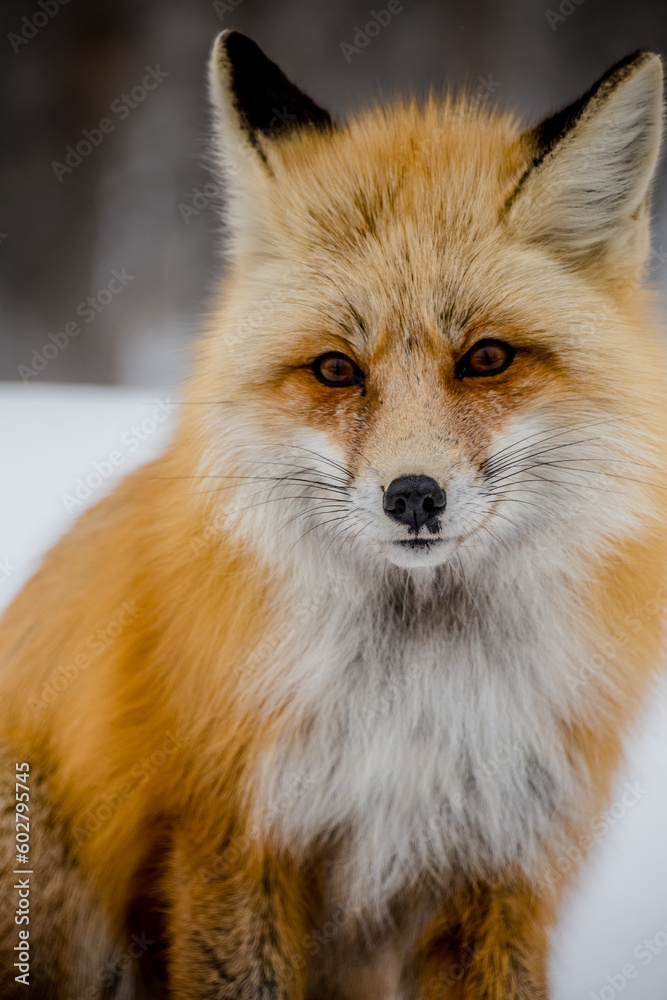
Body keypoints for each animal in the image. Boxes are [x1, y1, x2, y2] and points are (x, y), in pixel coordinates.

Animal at [1, 29, 667, 1000]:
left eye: (486, 358)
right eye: (335, 370)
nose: (413, 495)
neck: (413, 701)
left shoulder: (498, 867)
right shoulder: (233, 841)